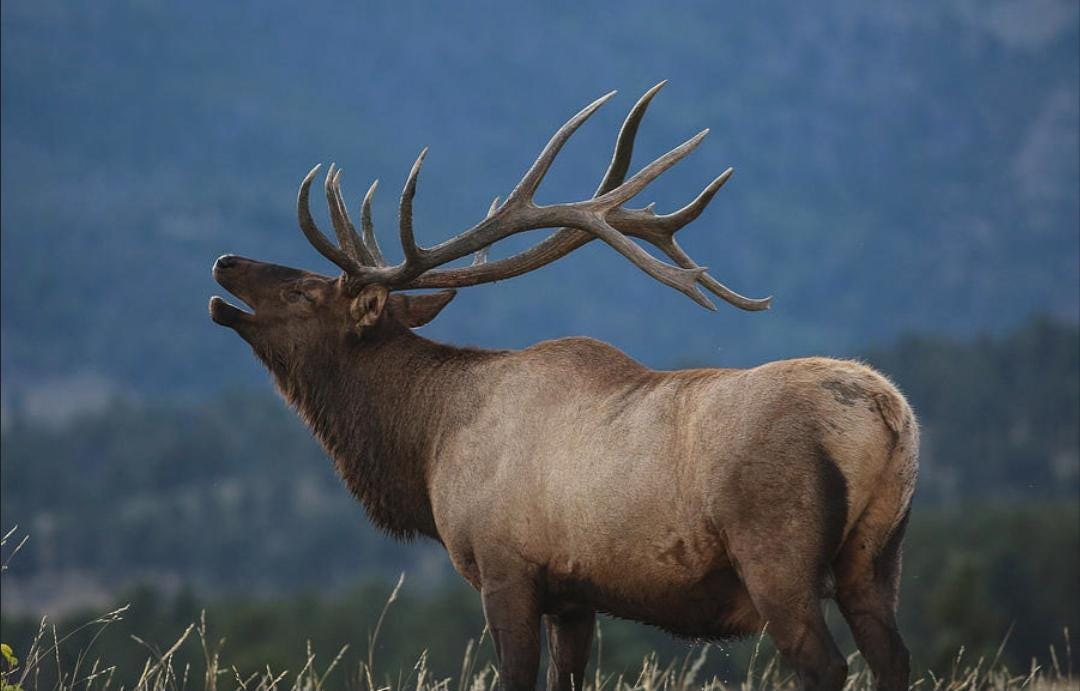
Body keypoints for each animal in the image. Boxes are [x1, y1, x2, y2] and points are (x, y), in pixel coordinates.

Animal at [209, 83, 918, 691]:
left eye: (306, 291)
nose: (225, 261)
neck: (428, 446)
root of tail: (888, 414)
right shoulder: (574, 595)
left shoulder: (506, 570)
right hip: (876, 557)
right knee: (893, 658)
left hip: (776, 552)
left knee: (825, 665)